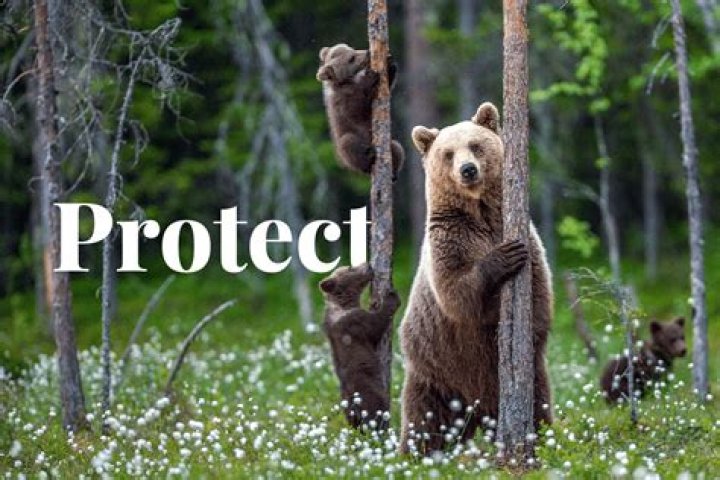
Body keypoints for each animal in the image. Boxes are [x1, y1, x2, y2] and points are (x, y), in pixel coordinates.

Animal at [316, 43, 404, 180]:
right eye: (351, 58)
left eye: (352, 49)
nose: (368, 52)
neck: (348, 81)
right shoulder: (342, 101)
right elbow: (357, 109)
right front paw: (370, 77)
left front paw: (390, 62)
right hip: (346, 147)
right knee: (348, 143)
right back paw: (368, 158)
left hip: (389, 144)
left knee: (396, 147)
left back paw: (394, 173)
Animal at [319, 263, 401, 429]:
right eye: (350, 267)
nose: (368, 264)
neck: (344, 304)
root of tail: (354, 404)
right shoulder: (354, 323)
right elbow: (376, 326)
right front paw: (391, 296)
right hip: (368, 392)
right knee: (376, 410)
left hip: (346, 405)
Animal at [398, 102, 554, 455]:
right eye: (447, 153)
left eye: (475, 145)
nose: (468, 170)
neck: (480, 213)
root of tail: (478, 409)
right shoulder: (449, 240)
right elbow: (457, 293)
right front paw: (503, 256)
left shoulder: (526, 238)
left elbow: (539, 295)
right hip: (436, 371)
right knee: (425, 421)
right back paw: (414, 455)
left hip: (523, 379)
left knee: (539, 403)